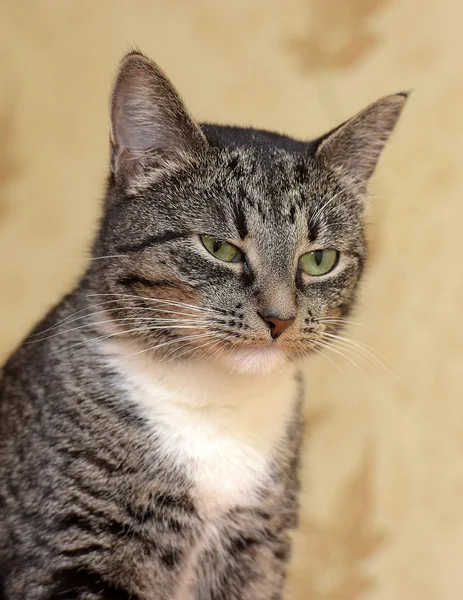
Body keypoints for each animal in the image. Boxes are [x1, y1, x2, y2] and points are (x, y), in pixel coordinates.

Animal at [0, 52, 406, 600]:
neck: (215, 404)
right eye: (219, 249)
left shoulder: (257, 550)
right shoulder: (75, 546)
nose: (280, 318)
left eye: (319, 260)